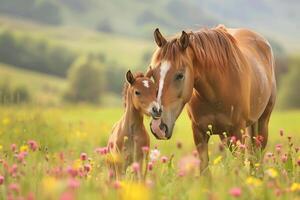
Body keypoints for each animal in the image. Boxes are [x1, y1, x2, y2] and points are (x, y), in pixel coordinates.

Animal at [148, 25, 276, 172]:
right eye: (153, 74)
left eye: (180, 75)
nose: (158, 127)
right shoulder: (199, 133)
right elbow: (204, 169)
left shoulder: (238, 132)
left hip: (262, 123)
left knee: (257, 153)